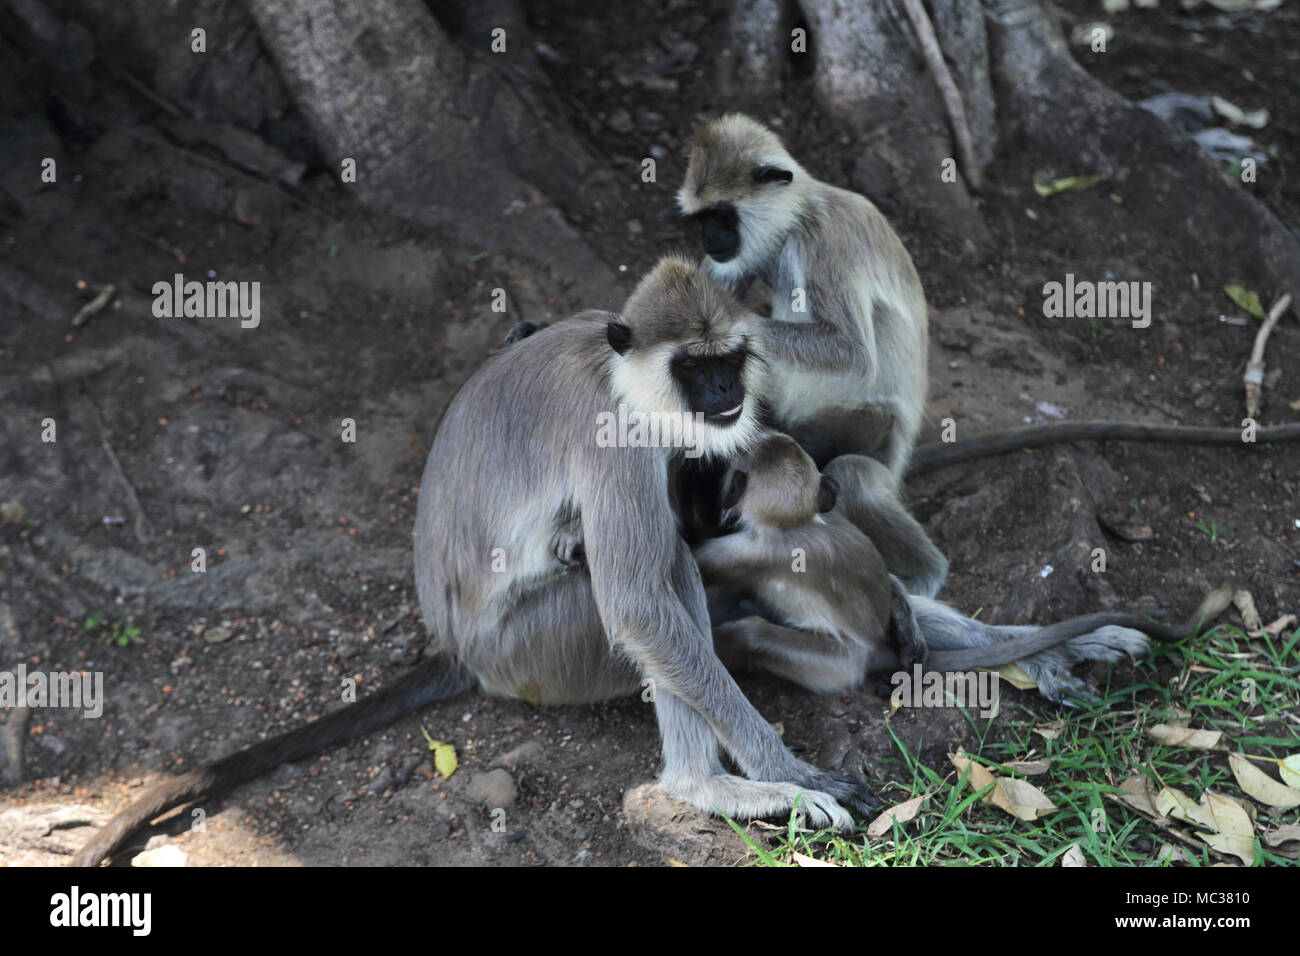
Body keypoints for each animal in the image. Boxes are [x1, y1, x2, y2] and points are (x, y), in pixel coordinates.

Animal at [76, 256, 878, 868]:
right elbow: (638, 606)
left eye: (730, 361)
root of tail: (457, 647)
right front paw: (790, 772)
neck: (615, 369)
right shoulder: (613, 433)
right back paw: (704, 788)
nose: (722, 392)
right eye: (695, 367)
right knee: (661, 578)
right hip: (532, 652)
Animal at [681, 113, 946, 598]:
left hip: (872, 429)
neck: (796, 221)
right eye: (703, 218)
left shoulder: (823, 241)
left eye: (723, 215)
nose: (709, 237)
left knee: (851, 474)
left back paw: (926, 575)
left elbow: (853, 354)